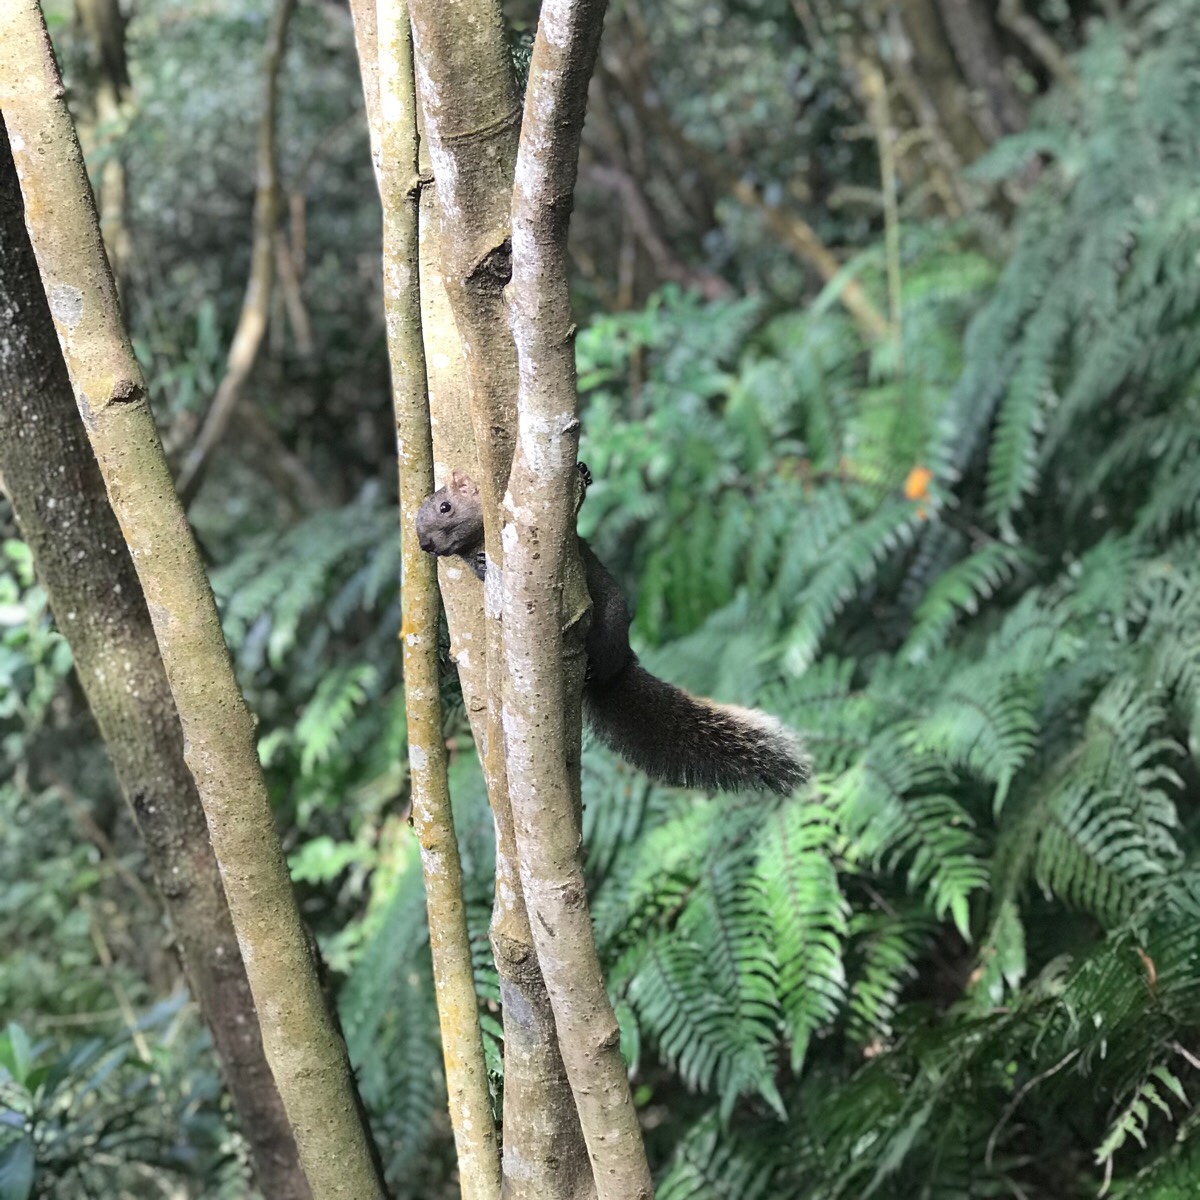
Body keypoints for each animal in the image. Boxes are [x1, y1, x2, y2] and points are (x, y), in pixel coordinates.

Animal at [415, 465, 811, 795]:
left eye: (445, 507)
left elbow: (575, 521)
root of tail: (622, 663)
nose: (426, 545)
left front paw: (584, 474)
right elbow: (481, 572)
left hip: (611, 619)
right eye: (419, 528)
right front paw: (483, 563)